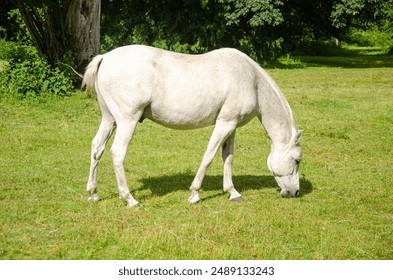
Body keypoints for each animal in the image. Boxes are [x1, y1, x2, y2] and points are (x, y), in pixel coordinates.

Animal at [82, 44, 304, 207]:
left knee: (97, 148)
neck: (252, 81)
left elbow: (228, 158)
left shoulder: (231, 126)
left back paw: (93, 193)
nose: (294, 192)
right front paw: (195, 194)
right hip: (127, 121)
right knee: (117, 153)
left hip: (109, 120)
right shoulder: (224, 124)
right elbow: (209, 156)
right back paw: (129, 199)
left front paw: (232, 192)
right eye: (297, 160)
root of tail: (106, 57)